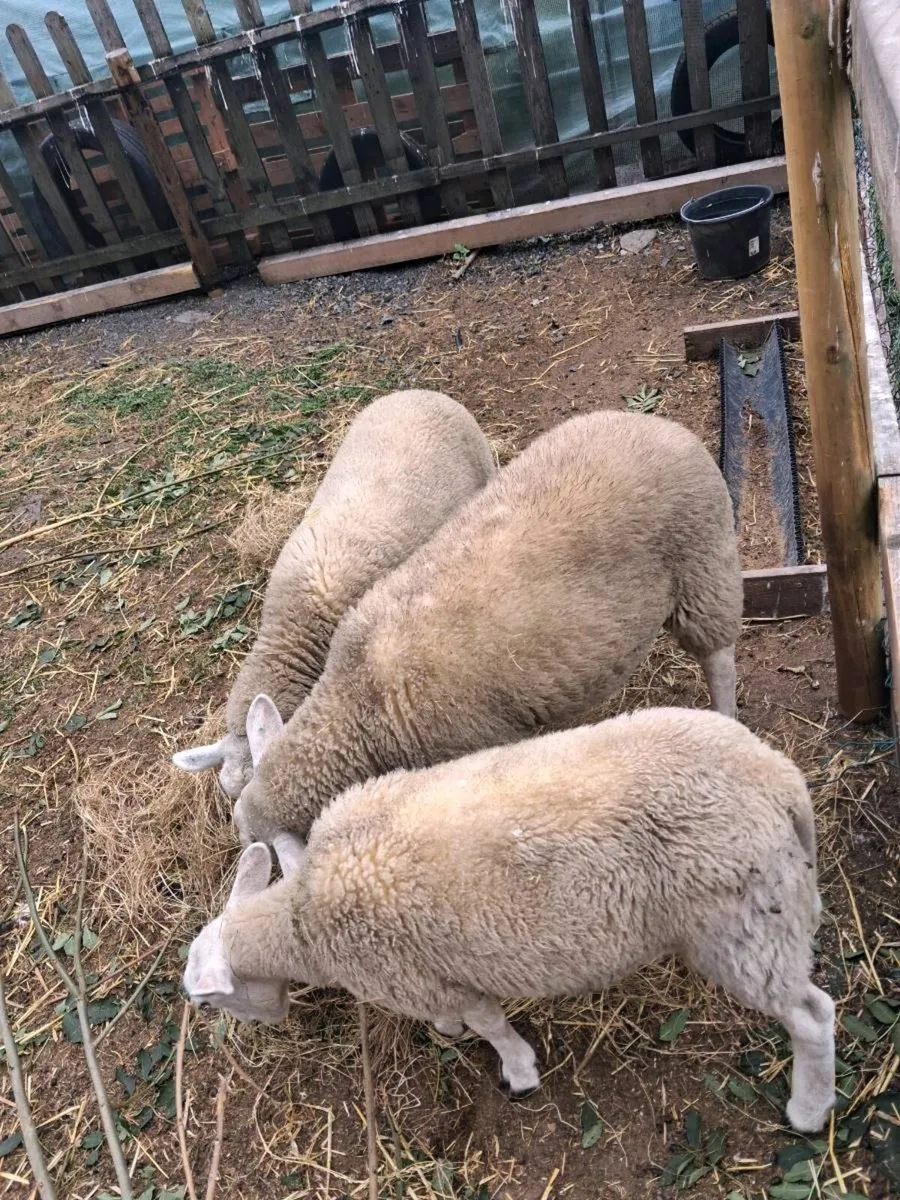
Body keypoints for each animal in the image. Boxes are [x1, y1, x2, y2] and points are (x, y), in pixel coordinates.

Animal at [184, 706, 836, 1135]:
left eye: (206, 1001)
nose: (265, 1023)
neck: (304, 921)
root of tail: (778, 778)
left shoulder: (430, 977)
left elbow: (491, 1026)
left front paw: (518, 1072)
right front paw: (451, 1033)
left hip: (740, 932)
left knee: (812, 1016)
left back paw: (807, 1111)